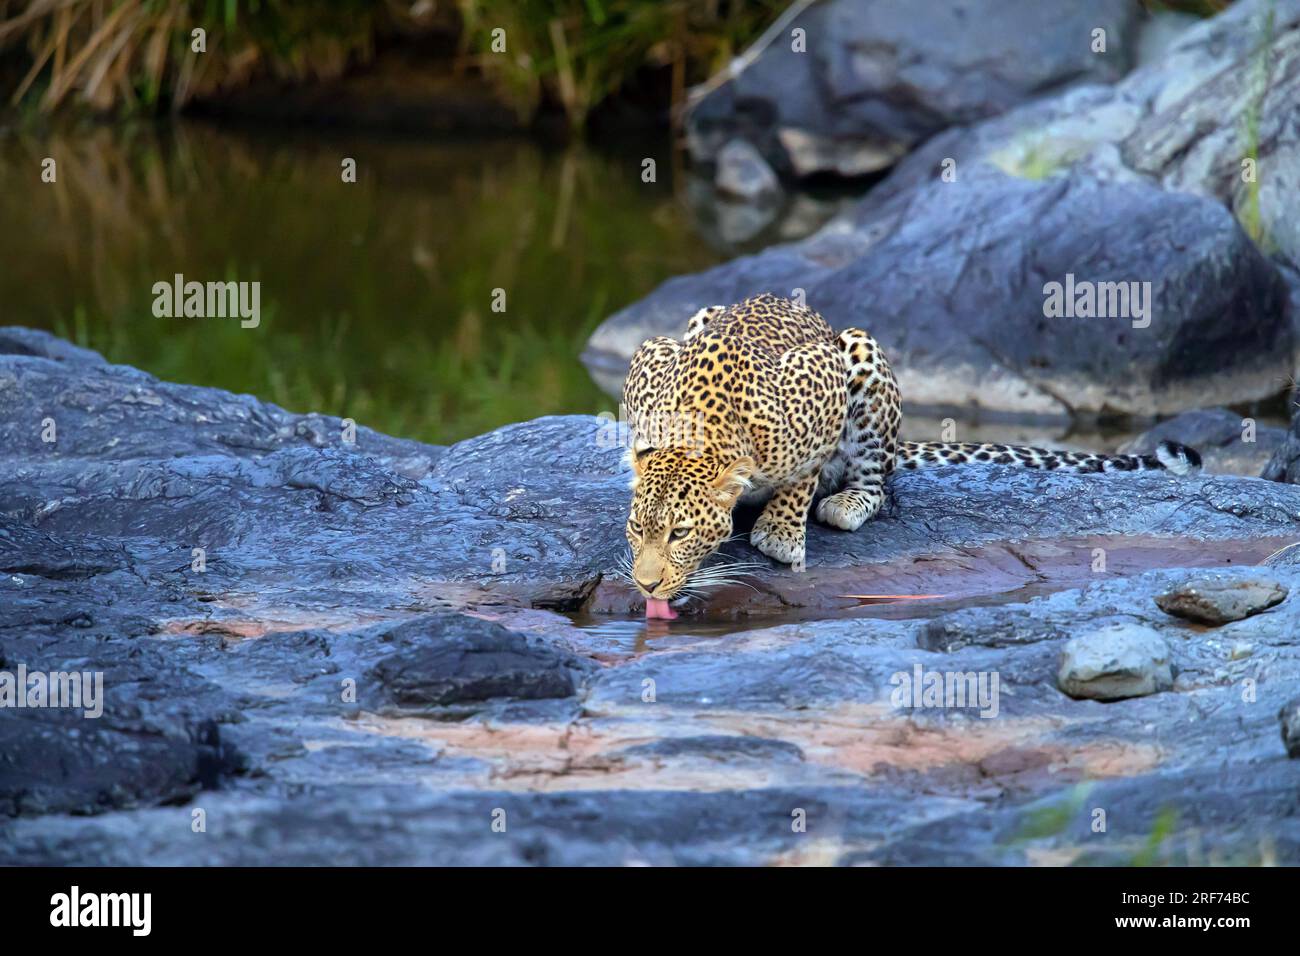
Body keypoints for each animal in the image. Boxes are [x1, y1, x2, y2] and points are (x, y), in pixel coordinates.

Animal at [618, 291, 1196, 613]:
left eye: (681, 534)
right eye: (637, 528)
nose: (645, 585)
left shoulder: (821, 380)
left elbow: (802, 475)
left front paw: (781, 532)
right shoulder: (650, 357)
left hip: (861, 353)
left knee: (876, 478)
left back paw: (846, 504)